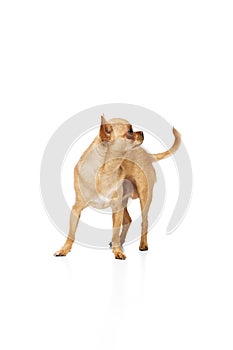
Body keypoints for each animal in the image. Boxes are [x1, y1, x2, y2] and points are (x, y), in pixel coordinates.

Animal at [54, 116, 180, 258]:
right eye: (130, 131)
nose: (141, 132)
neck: (105, 172)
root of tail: (147, 154)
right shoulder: (76, 209)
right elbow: (71, 233)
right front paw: (64, 249)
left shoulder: (116, 208)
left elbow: (114, 231)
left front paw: (117, 251)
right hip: (123, 203)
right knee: (128, 220)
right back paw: (122, 241)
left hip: (144, 198)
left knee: (144, 221)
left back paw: (142, 245)